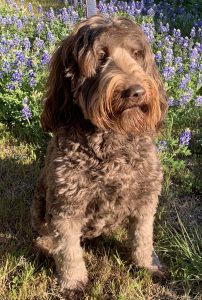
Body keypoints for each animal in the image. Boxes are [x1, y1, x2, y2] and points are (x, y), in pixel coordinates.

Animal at [31, 15, 167, 296]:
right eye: (101, 55)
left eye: (137, 54)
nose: (135, 92)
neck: (113, 140)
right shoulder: (67, 205)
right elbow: (68, 250)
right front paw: (73, 282)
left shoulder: (146, 197)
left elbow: (143, 236)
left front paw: (147, 265)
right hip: (41, 203)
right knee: (45, 235)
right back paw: (46, 248)